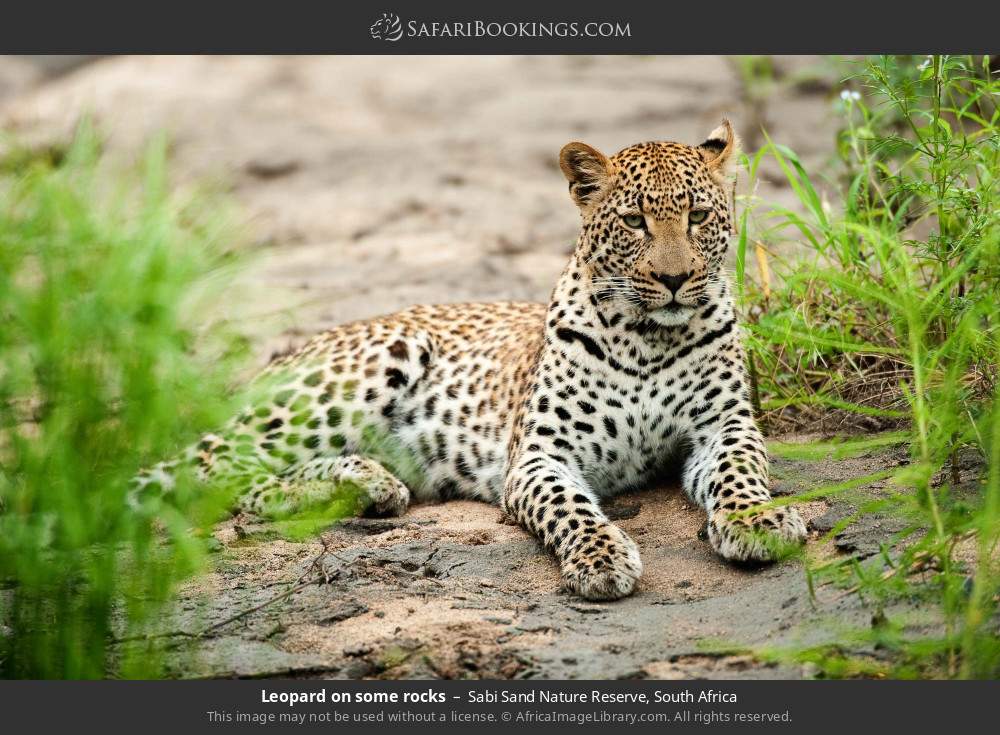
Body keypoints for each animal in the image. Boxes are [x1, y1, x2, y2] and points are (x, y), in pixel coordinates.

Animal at [132, 120, 807, 601]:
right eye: (634, 221)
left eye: (699, 216)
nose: (674, 280)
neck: (648, 340)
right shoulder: (539, 456)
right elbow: (572, 511)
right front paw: (601, 558)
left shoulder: (725, 425)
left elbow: (741, 472)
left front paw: (758, 522)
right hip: (374, 363)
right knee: (219, 472)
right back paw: (360, 482)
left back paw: (366, 484)